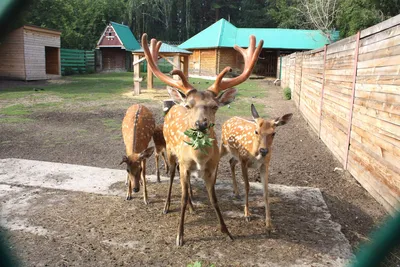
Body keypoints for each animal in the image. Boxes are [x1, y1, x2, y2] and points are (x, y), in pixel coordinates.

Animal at [142, 32, 264, 246]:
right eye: (189, 105)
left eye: (214, 106)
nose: (201, 124)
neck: (199, 158)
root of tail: (174, 105)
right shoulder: (184, 163)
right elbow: (182, 198)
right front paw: (180, 236)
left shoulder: (212, 167)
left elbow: (213, 198)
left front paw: (227, 231)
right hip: (171, 153)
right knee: (172, 176)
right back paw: (167, 206)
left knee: (188, 184)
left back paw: (192, 206)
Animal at [220, 104, 292, 232]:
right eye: (256, 131)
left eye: (274, 133)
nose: (263, 150)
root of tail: (228, 120)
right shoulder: (244, 161)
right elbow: (247, 186)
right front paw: (247, 215)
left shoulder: (265, 165)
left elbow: (266, 191)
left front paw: (268, 223)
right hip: (223, 146)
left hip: (236, 155)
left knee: (231, 162)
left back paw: (236, 192)